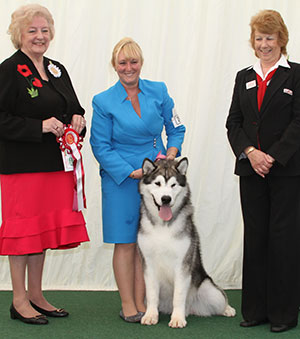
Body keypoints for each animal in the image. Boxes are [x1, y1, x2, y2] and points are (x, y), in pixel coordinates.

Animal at [137, 158, 236, 328]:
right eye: (157, 183)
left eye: (173, 185)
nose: (166, 199)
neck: (163, 225)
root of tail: (191, 308)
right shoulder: (148, 264)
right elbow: (152, 295)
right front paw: (150, 315)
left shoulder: (183, 264)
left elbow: (178, 295)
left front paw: (177, 318)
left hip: (210, 291)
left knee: (221, 299)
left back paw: (227, 309)